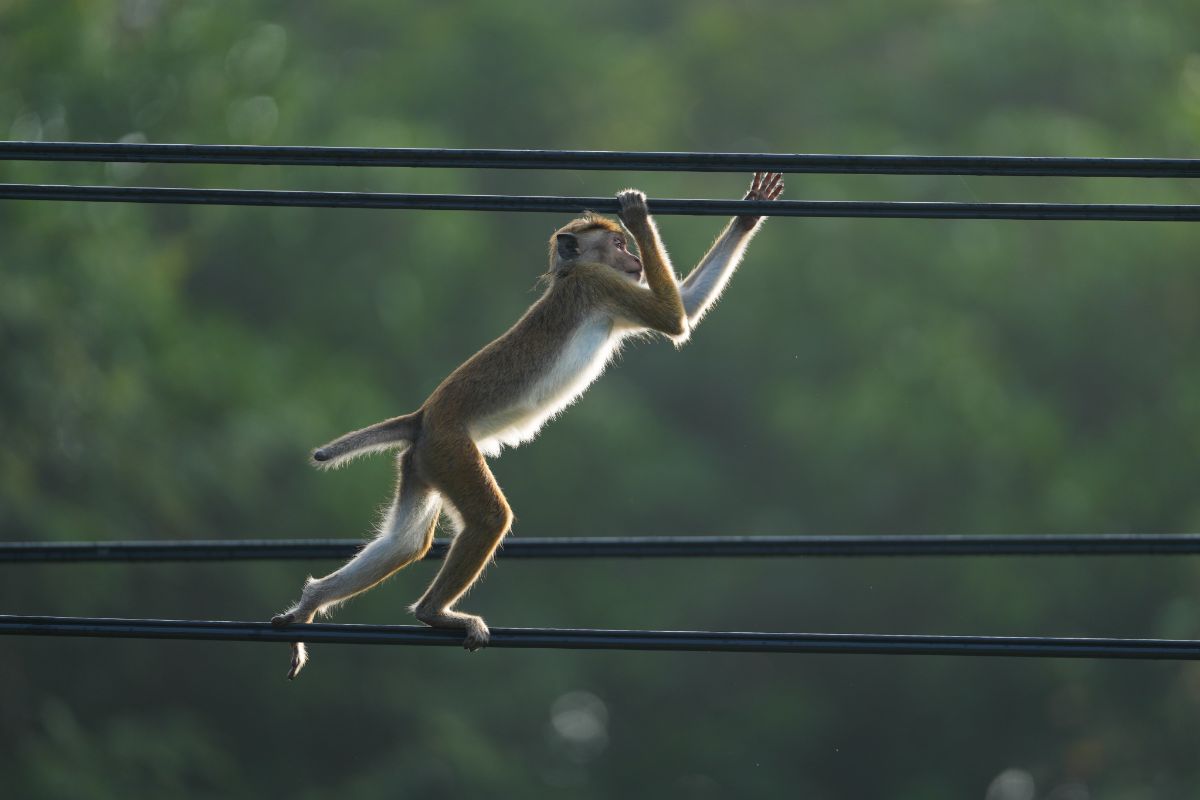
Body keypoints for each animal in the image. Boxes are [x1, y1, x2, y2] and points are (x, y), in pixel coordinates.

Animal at [273, 172, 785, 679]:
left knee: (404, 543)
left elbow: (687, 306)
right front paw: (640, 215)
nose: (636, 259)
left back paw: (310, 604)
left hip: (424, 460)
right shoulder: (600, 285)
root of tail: (423, 416)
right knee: (487, 518)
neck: (570, 274)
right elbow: (674, 319)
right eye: (619, 244)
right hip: (452, 448)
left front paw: (748, 214)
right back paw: (432, 613)